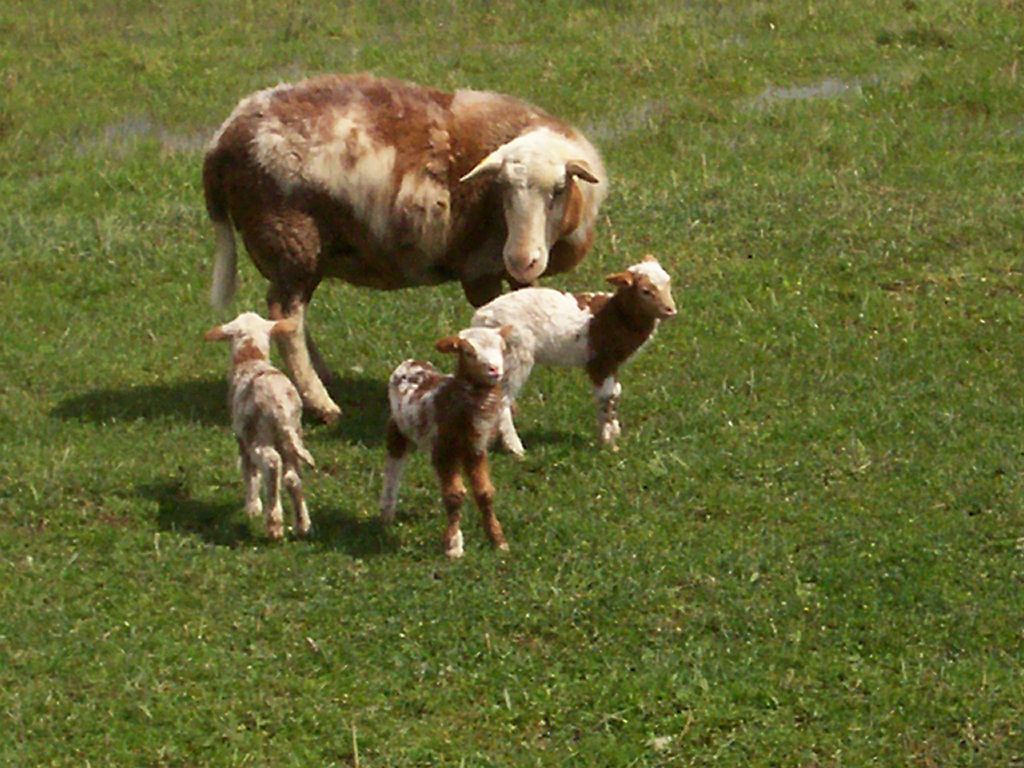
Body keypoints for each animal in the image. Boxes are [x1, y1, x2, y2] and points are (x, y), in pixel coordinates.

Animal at [203, 73, 606, 424]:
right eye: (503, 191)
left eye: (559, 190)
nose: (522, 259)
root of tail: (224, 137)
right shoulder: (481, 266)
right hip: (290, 236)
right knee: (285, 315)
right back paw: (321, 403)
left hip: (304, 250)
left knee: (291, 316)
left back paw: (323, 378)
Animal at [205, 312, 315, 541]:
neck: (251, 358)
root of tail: (279, 406)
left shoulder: (241, 439)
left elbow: (249, 473)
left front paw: (252, 508)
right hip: (292, 437)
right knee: (292, 477)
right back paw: (303, 525)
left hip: (258, 437)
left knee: (272, 465)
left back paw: (273, 524)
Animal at [380, 326, 513, 559]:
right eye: (468, 353)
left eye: (502, 347)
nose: (495, 370)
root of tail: (412, 362)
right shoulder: (445, 450)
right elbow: (454, 496)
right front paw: (453, 546)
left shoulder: (476, 450)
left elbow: (485, 493)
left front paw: (498, 541)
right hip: (397, 427)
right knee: (393, 467)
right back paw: (387, 512)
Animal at [471, 255, 677, 456]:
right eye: (645, 291)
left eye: (668, 283)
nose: (671, 311)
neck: (616, 316)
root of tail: (481, 319)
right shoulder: (601, 361)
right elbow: (608, 397)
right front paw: (608, 443)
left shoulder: (612, 363)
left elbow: (615, 393)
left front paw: (613, 433)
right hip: (515, 358)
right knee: (503, 400)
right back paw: (515, 448)